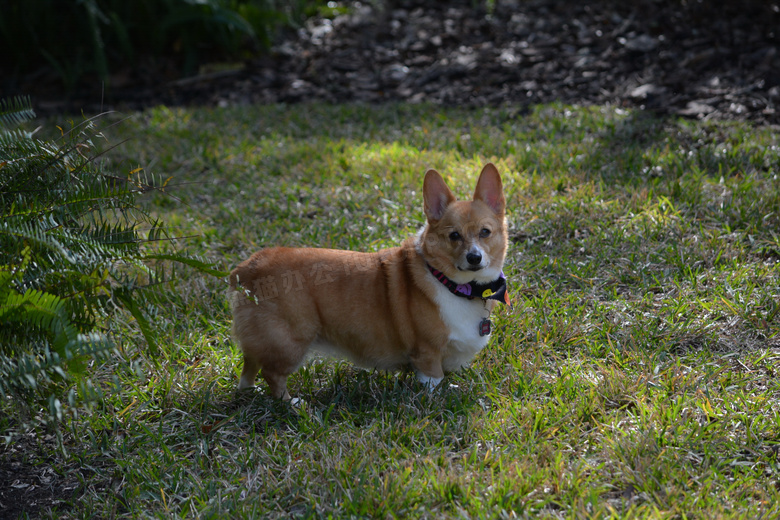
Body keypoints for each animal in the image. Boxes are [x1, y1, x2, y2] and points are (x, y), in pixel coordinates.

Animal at [230, 162, 512, 398]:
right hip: (290, 341)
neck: (454, 285)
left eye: (485, 232)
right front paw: (436, 399)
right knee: (272, 373)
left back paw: (249, 391)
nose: (474, 258)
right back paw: (291, 404)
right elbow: (434, 380)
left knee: (249, 365)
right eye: (454, 235)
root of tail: (248, 267)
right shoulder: (427, 353)